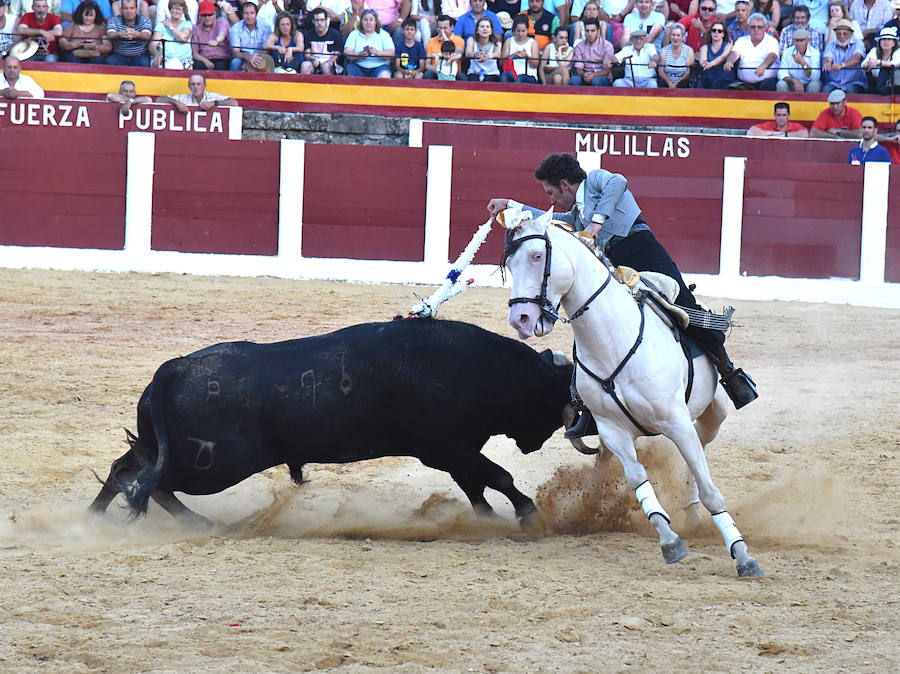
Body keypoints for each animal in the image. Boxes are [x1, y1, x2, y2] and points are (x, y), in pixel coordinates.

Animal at [88, 318, 572, 524]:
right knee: (152, 482)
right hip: (211, 464)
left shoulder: (455, 451)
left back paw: (96, 517)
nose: (538, 441)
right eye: (552, 396)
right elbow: (498, 476)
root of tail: (176, 367)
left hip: (180, 454)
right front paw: (528, 514)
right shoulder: (447, 448)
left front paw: (489, 521)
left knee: (129, 470)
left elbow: (477, 485)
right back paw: (197, 524)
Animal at [502, 206, 764, 576]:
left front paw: (742, 555)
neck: (613, 340)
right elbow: (638, 477)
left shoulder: (675, 422)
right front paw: (669, 541)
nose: (521, 319)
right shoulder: (612, 430)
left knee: (700, 448)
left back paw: (693, 508)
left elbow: (711, 489)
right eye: (510, 265)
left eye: (538, 256)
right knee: (607, 463)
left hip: (714, 413)